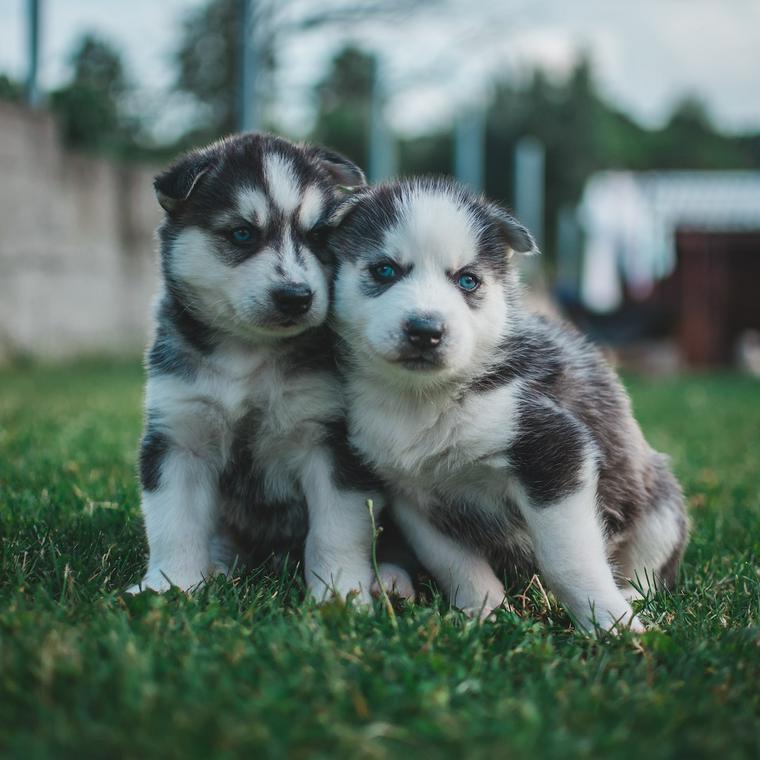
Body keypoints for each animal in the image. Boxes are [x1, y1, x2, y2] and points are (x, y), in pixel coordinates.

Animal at [128, 134, 386, 604]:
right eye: (243, 234)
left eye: (317, 235)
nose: (296, 296)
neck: (247, 355)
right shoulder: (178, 435)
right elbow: (174, 524)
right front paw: (169, 586)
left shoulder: (329, 439)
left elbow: (336, 529)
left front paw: (338, 592)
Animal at [326, 177, 688, 628]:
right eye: (385, 270)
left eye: (467, 281)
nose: (426, 330)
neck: (423, 399)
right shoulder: (411, 495)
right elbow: (454, 562)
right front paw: (483, 613)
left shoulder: (554, 452)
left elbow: (567, 560)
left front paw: (611, 624)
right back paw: (394, 584)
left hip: (660, 505)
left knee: (650, 568)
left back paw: (632, 597)